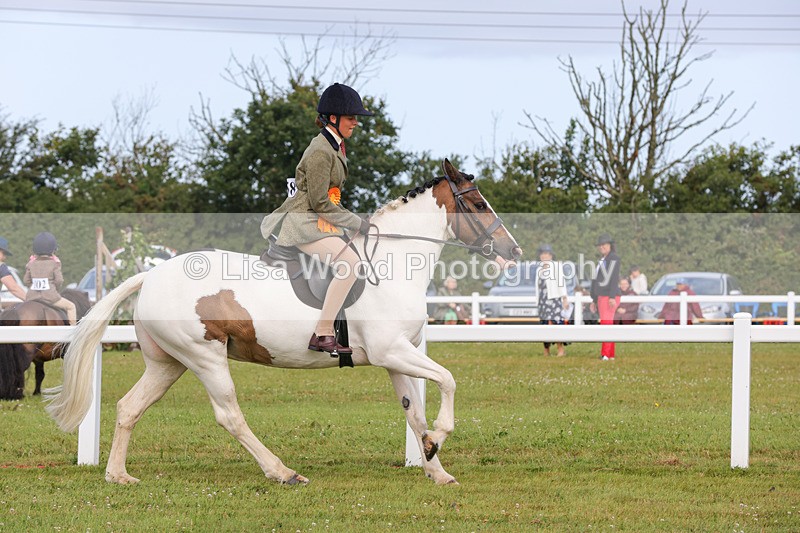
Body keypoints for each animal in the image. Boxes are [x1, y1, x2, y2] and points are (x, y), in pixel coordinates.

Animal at [45, 159, 523, 485]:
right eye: (477, 203)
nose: (513, 251)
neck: (394, 261)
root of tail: (152, 274)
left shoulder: (395, 358)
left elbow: (414, 412)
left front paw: (435, 465)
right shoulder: (392, 350)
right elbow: (448, 381)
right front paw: (439, 437)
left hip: (169, 363)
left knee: (129, 407)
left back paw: (118, 475)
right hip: (205, 357)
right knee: (229, 415)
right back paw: (282, 471)